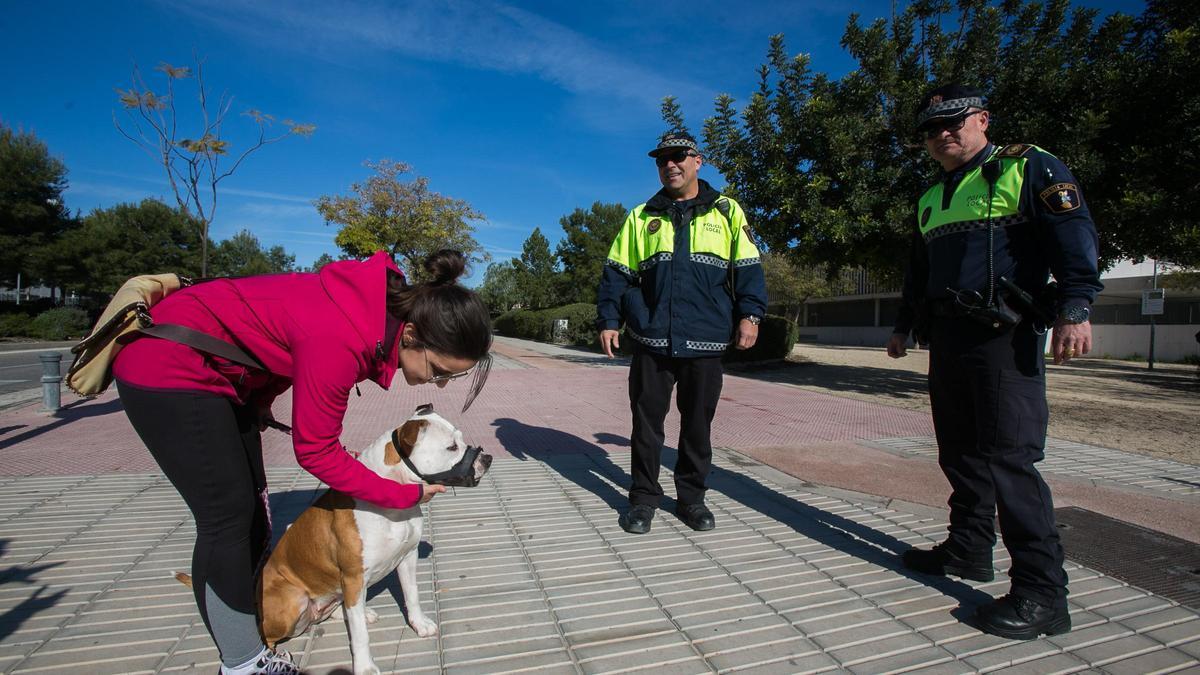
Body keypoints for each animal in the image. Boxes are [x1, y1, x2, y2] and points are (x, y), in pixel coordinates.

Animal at [259, 403, 492, 672]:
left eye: (461, 440)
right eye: (452, 447)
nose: (487, 458)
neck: (392, 497)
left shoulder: (408, 556)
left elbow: (412, 594)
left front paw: (419, 623)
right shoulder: (353, 578)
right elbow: (360, 635)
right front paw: (364, 666)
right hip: (291, 600)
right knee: (270, 636)